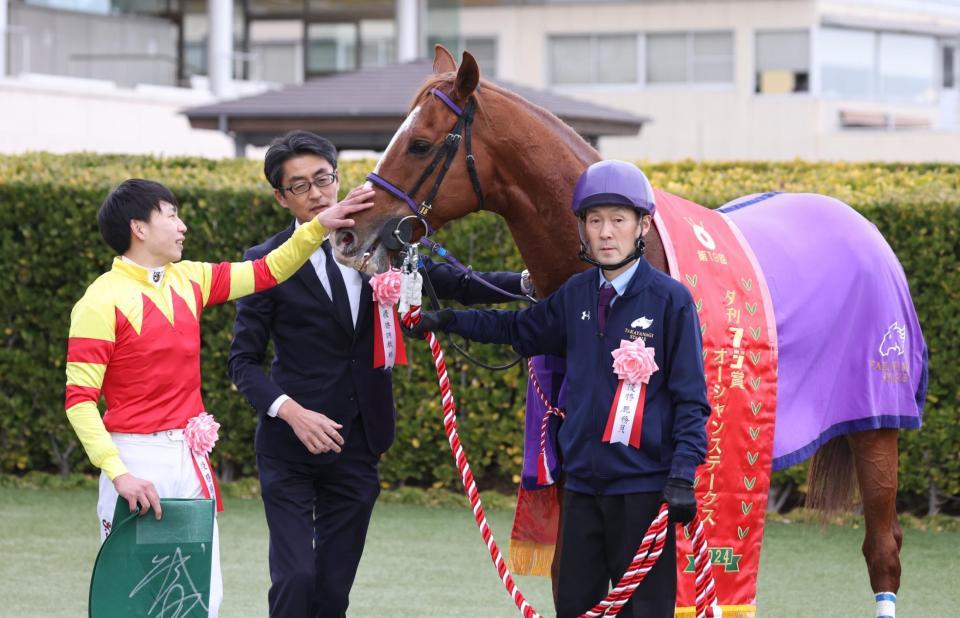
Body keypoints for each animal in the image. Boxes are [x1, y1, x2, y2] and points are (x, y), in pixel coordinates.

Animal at [336, 47, 924, 612]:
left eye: (419, 144)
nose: (346, 235)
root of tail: (867, 230)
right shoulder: (572, 463)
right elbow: (574, 576)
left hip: (877, 424)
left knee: (883, 548)